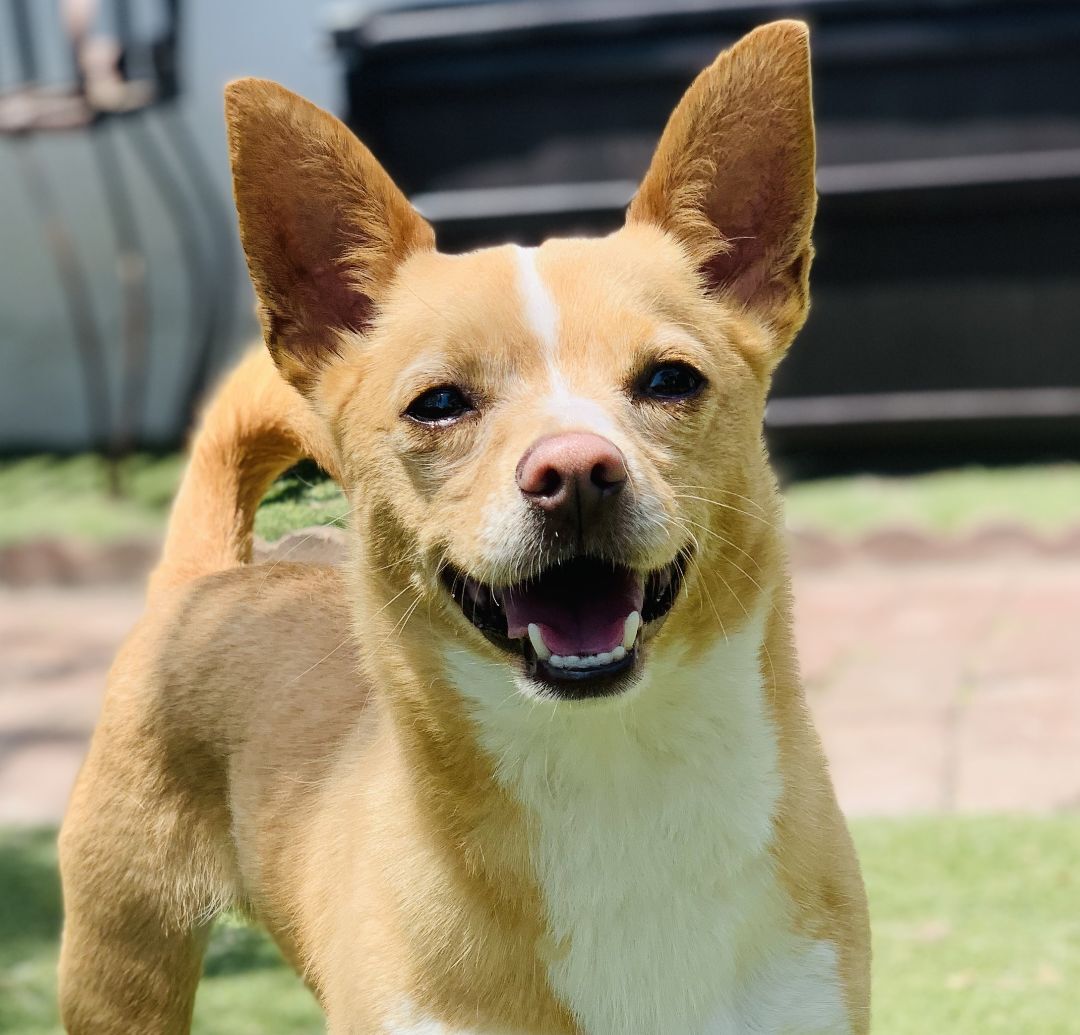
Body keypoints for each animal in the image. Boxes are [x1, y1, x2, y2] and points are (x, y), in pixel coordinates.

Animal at [56, 18, 868, 1035]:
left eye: (670, 380)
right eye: (439, 403)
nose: (575, 471)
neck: (608, 770)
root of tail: (209, 576)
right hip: (123, 960)